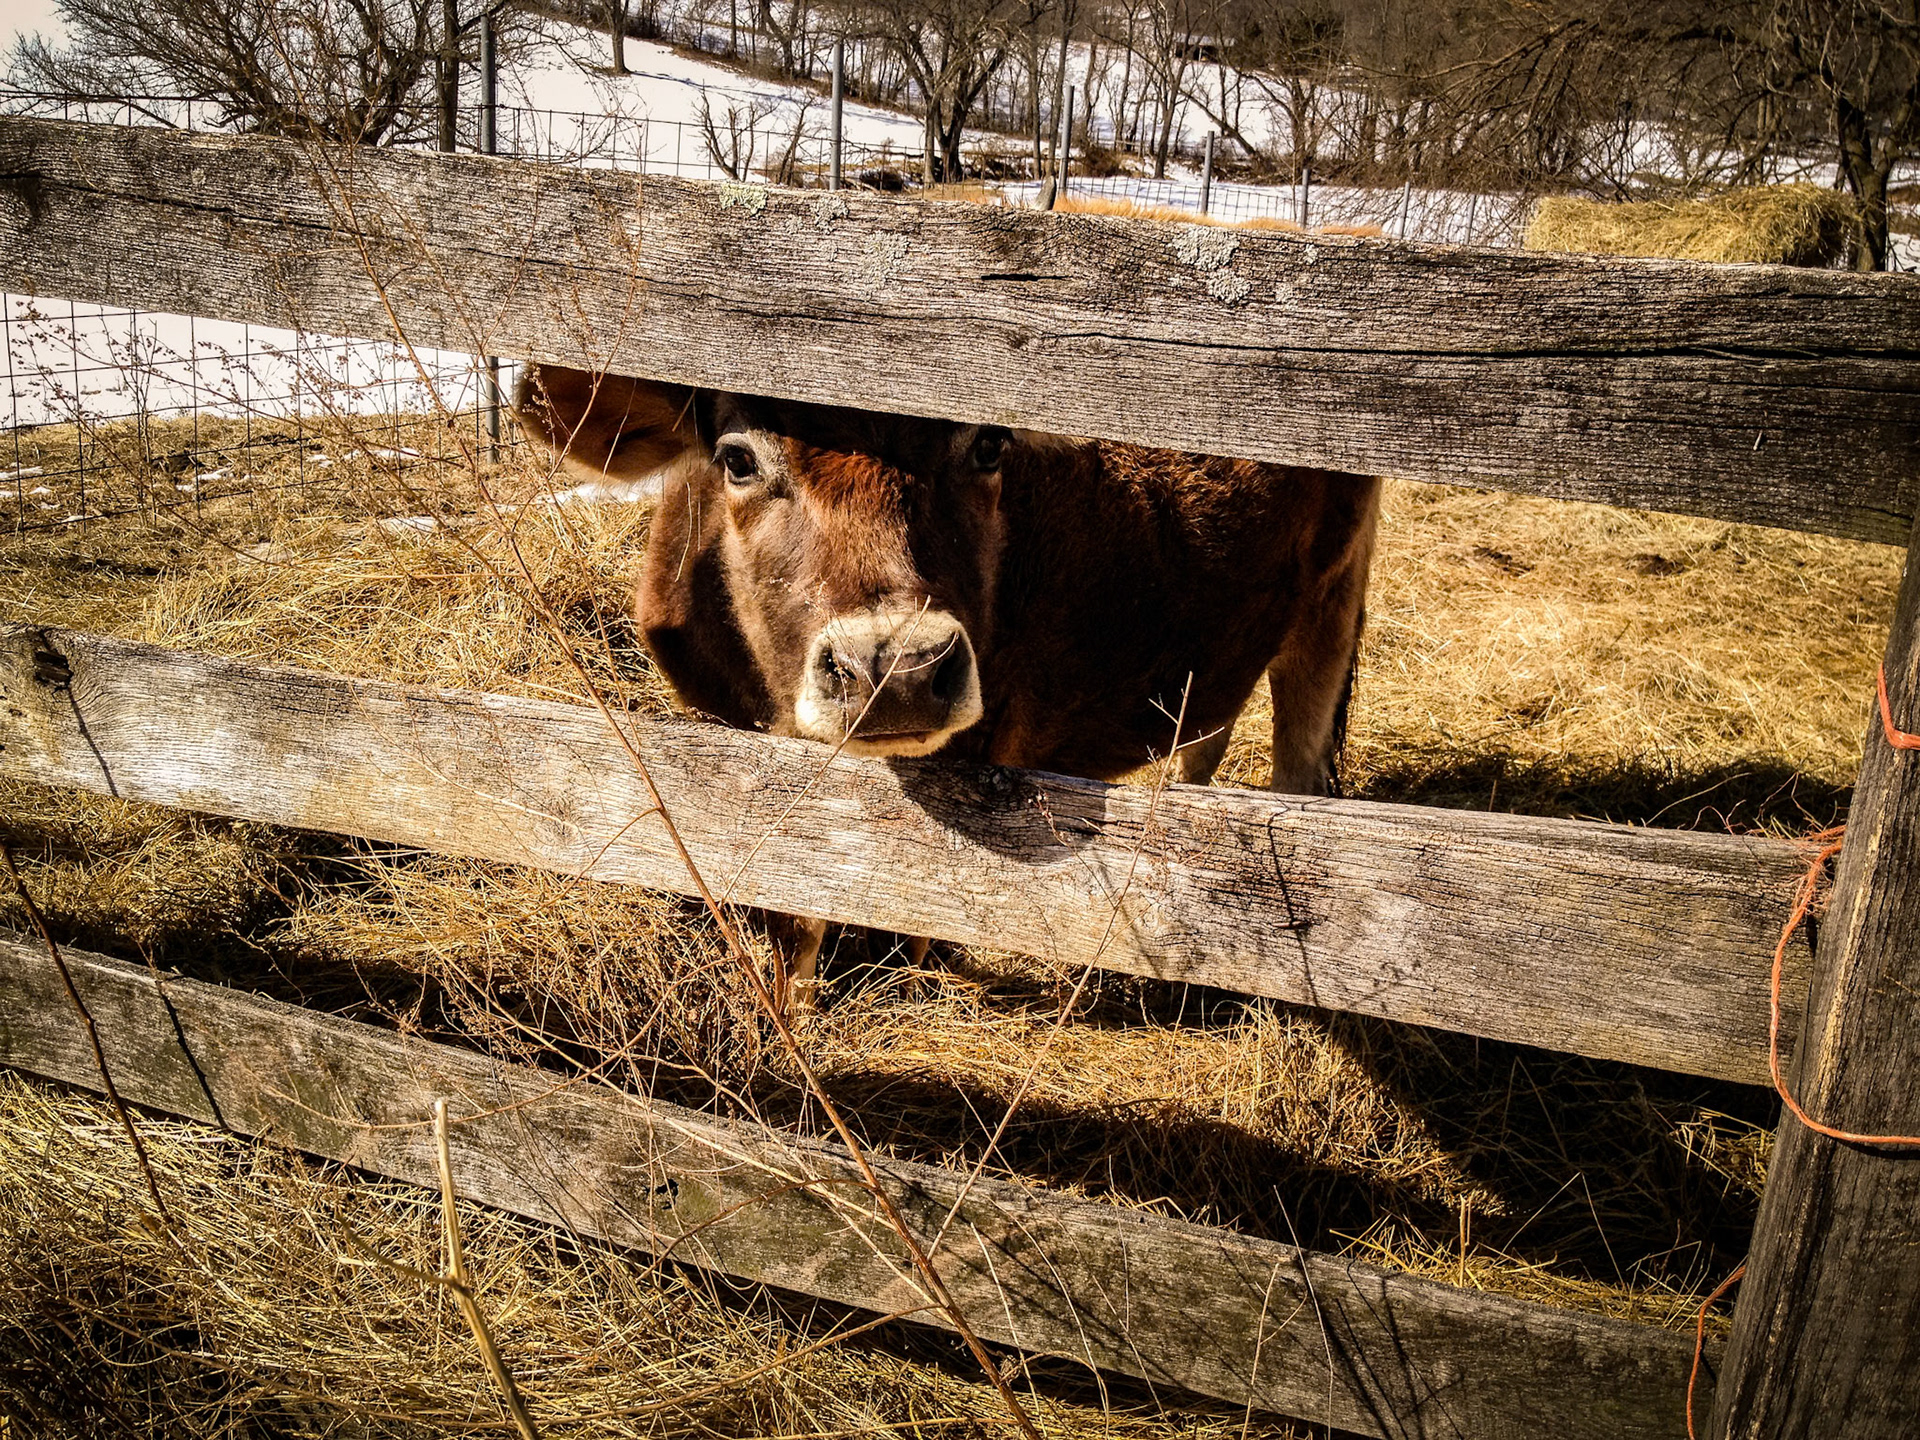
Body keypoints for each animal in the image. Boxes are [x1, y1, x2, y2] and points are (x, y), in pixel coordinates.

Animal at [515, 365, 1380, 1012]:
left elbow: (919, 896)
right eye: (738, 459)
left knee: (1302, 768)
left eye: (989, 445)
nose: (893, 670)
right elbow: (785, 902)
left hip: (1331, 606)